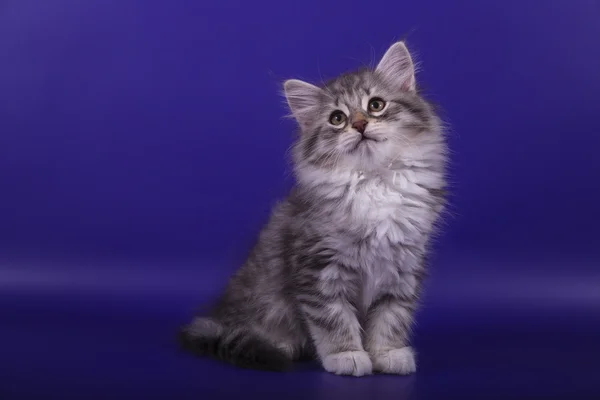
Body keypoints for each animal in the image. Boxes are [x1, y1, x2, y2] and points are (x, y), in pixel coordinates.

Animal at [180, 42, 448, 376]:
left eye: (376, 105)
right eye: (337, 118)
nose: (360, 124)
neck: (373, 180)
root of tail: (217, 316)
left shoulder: (403, 269)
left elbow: (391, 318)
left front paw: (388, 353)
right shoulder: (320, 268)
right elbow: (334, 319)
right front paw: (347, 355)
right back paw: (280, 344)